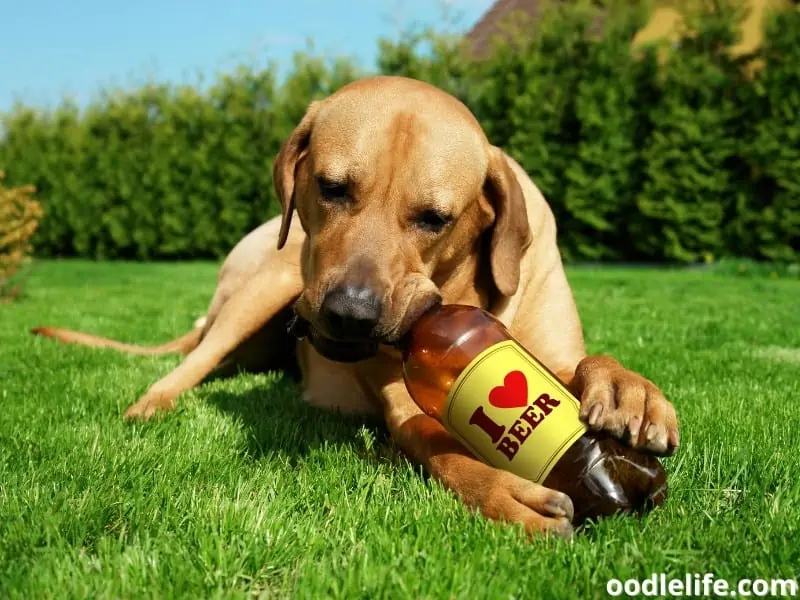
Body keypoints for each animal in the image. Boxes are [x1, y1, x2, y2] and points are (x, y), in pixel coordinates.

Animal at [32, 76, 680, 540]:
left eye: (434, 218)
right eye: (331, 187)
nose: (351, 313)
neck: (464, 296)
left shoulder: (543, 351)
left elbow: (585, 365)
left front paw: (629, 390)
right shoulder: (406, 406)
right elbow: (439, 446)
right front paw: (501, 491)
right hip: (269, 279)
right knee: (193, 360)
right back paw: (153, 402)